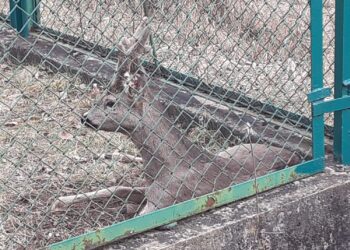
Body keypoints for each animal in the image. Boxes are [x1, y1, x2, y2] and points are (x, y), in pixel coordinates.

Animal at [51, 17, 300, 217]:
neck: (164, 171)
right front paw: (59, 201)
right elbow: (120, 188)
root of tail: (296, 154)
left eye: (110, 102)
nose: (85, 117)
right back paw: (114, 155)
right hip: (233, 149)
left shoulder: (164, 203)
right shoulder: (150, 191)